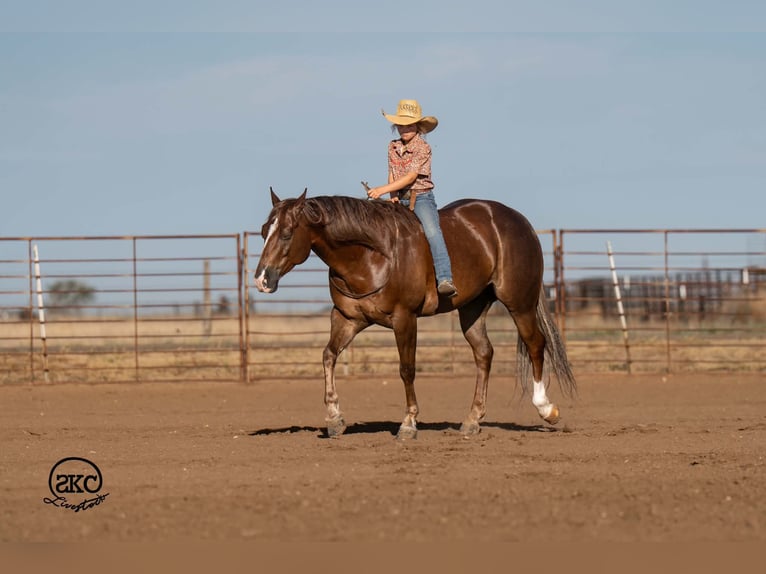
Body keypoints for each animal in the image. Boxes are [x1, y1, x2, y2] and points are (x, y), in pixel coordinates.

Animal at [254, 188, 576, 439]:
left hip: (519, 302)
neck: (371, 256)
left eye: (286, 234)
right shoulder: (347, 318)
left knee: (535, 344)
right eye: (263, 231)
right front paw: (334, 419)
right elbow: (328, 356)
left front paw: (408, 424)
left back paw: (546, 409)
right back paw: (472, 421)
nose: (262, 279)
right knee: (484, 353)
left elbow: (406, 369)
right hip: (473, 307)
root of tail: (519, 221)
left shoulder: (405, 318)